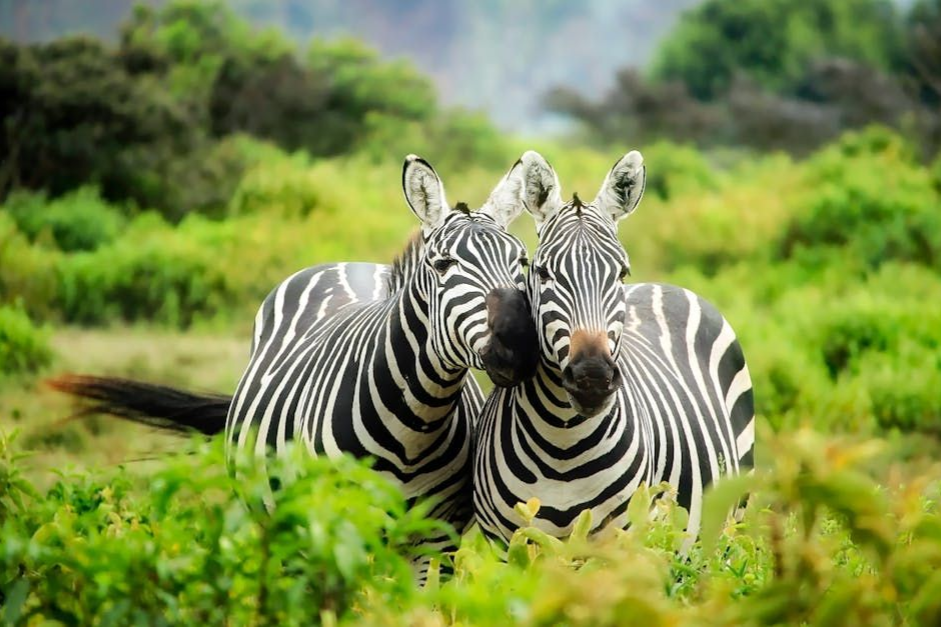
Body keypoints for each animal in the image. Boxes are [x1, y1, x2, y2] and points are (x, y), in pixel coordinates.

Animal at [51, 154, 540, 562]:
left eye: (521, 262)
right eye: (442, 266)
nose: (519, 344)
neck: (415, 425)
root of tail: (347, 263)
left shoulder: (436, 541)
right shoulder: (334, 527)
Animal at [473, 150, 755, 547]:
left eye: (621, 273)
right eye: (542, 272)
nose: (592, 378)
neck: (562, 444)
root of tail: (665, 285)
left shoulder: (621, 541)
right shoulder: (506, 544)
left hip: (730, 521)